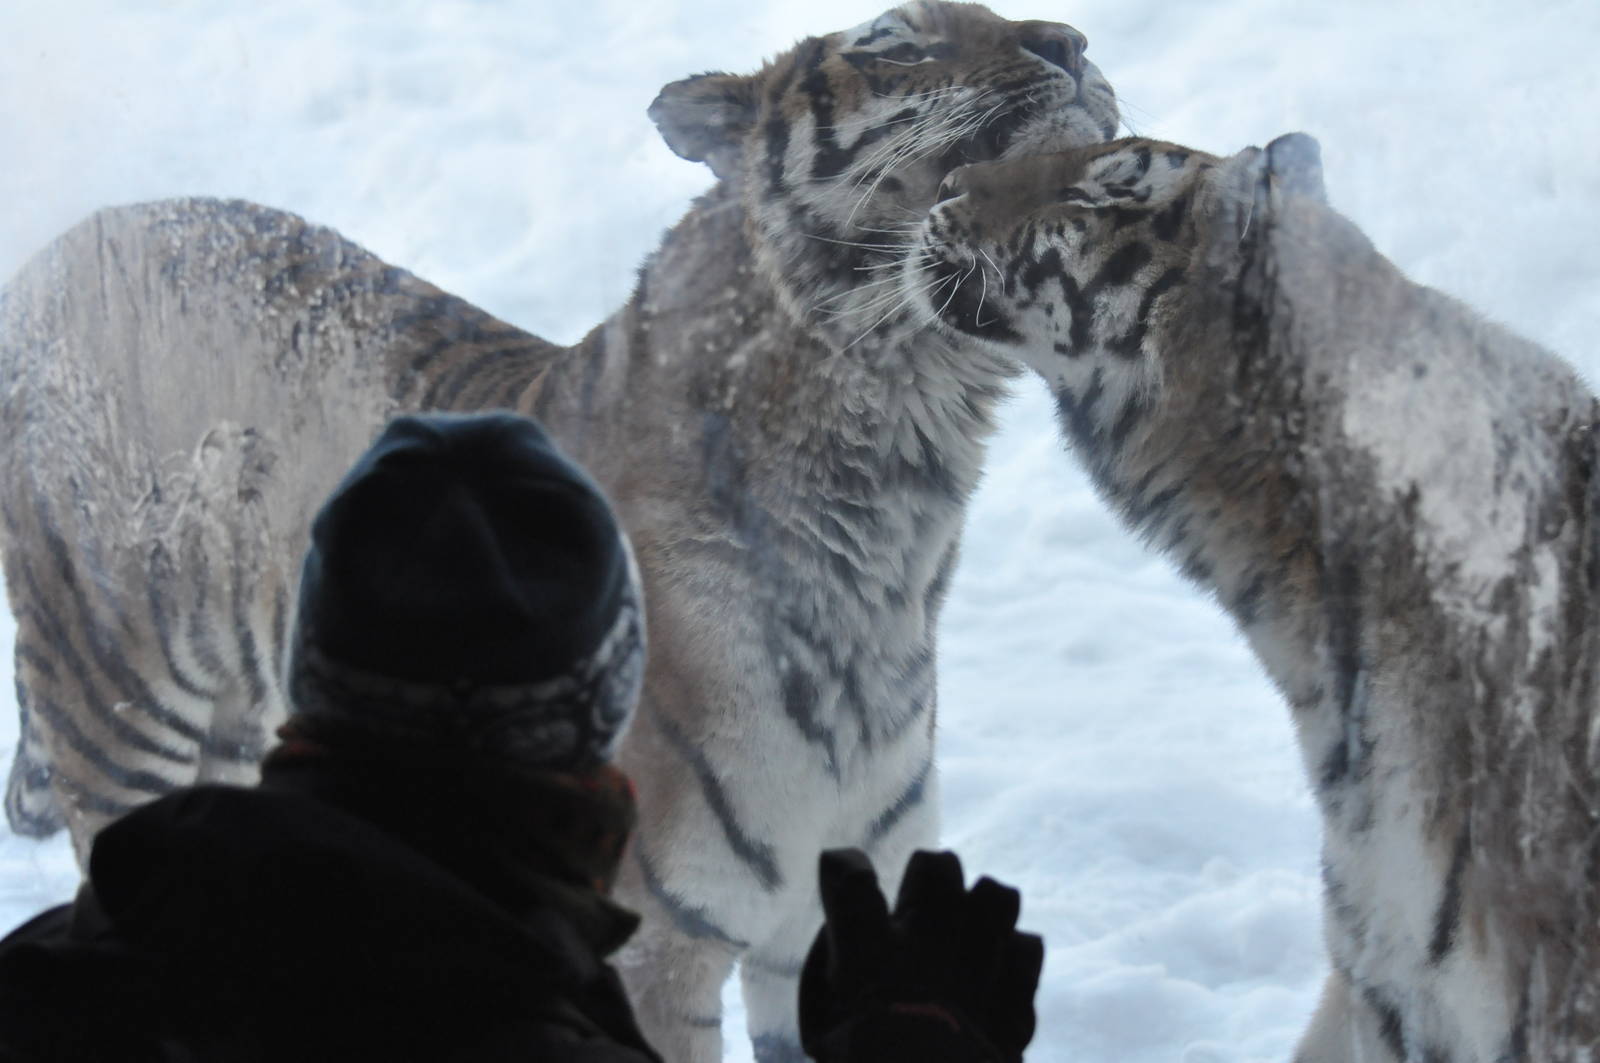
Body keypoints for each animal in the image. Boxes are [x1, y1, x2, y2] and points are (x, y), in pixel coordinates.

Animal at [0, 4, 1118, 1060]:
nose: (1072, 41)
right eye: (895, 41)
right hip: (116, 705)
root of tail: (57, 251)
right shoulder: (660, 949)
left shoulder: (817, 924)